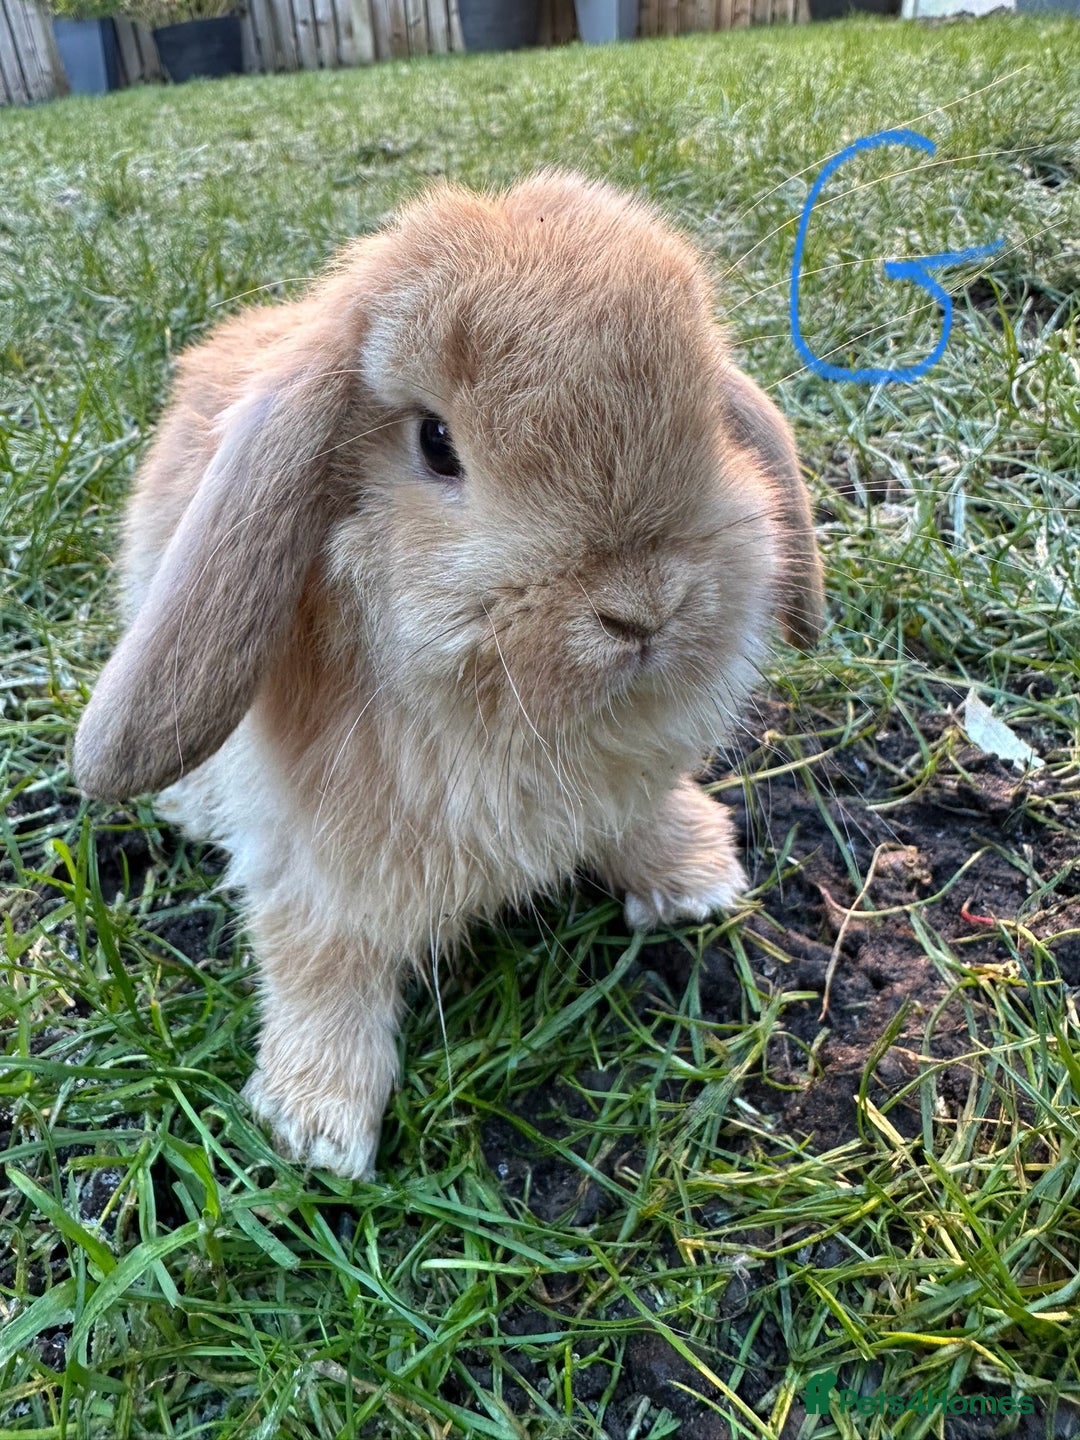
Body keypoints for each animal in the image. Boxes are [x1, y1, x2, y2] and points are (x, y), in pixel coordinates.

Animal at [73, 171, 823, 1180]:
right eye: (436, 443)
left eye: (706, 413)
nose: (643, 608)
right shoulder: (317, 863)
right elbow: (320, 956)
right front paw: (318, 1125)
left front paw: (696, 878)